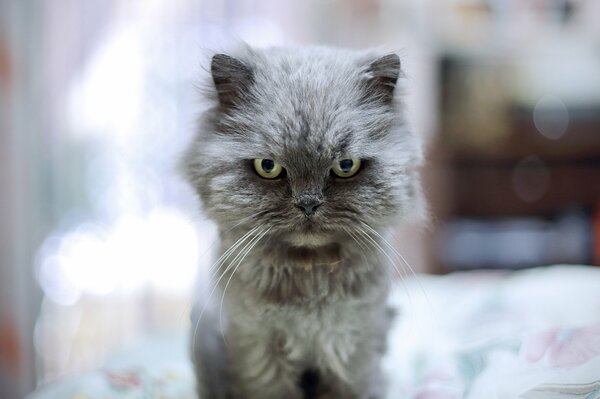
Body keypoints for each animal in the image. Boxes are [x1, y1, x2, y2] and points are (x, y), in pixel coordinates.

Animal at [185, 44, 424, 399]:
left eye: (346, 166)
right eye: (268, 166)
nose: (308, 204)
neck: (310, 277)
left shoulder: (351, 344)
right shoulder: (258, 346)